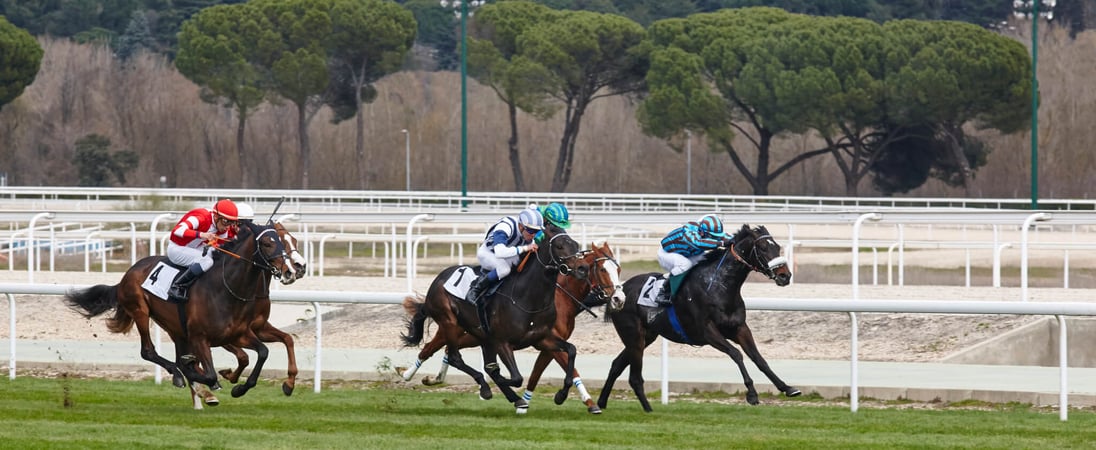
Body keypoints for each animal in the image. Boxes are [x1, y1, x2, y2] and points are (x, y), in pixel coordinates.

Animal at [64, 220, 291, 409]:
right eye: (267, 243)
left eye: (283, 241)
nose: (289, 269)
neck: (227, 289)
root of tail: (127, 273)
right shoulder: (200, 337)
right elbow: (209, 373)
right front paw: (201, 377)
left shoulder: (238, 334)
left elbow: (262, 353)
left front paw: (239, 388)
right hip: (140, 311)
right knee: (148, 351)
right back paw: (180, 375)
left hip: (175, 327)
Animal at [403, 240, 626, 413]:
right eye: (603, 269)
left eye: (618, 269)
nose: (619, 299)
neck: (558, 297)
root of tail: (439, 280)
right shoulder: (544, 343)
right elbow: (563, 370)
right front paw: (581, 401)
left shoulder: (545, 341)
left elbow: (542, 371)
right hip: (452, 326)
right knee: (434, 349)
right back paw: (410, 375)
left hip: (476, 336)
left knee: (448, 351)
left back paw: (435, 378)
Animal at [596, 224, 802, 411]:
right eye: (763, 248)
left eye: (777, 247)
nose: (785, 276)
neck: (718, 286)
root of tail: (618, 292)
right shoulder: (707, 331)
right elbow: (736, 354)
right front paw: (751, 394)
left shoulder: (740, 328)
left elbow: (758, 358)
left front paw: (787, 388)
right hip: (633, 335)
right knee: (633, 376)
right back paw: (646, 409)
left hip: (646, 337)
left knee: (617, 364)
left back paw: (602, 402)